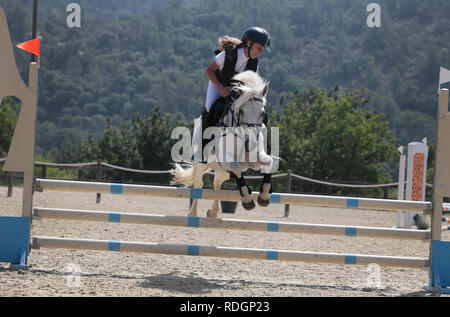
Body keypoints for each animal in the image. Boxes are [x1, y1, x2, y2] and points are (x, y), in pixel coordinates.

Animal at [171, 70, 274, 216]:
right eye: (241, 111)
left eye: (263, 113)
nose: (250, 142)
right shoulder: (226, 159)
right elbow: (236, 167)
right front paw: (247, 199)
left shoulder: (252, 160)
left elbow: (268, 161)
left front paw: (264, 196)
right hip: (200, 165)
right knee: (199, 185)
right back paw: (193, 213)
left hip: (222, 172)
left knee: (217, 184)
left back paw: (213, 212)